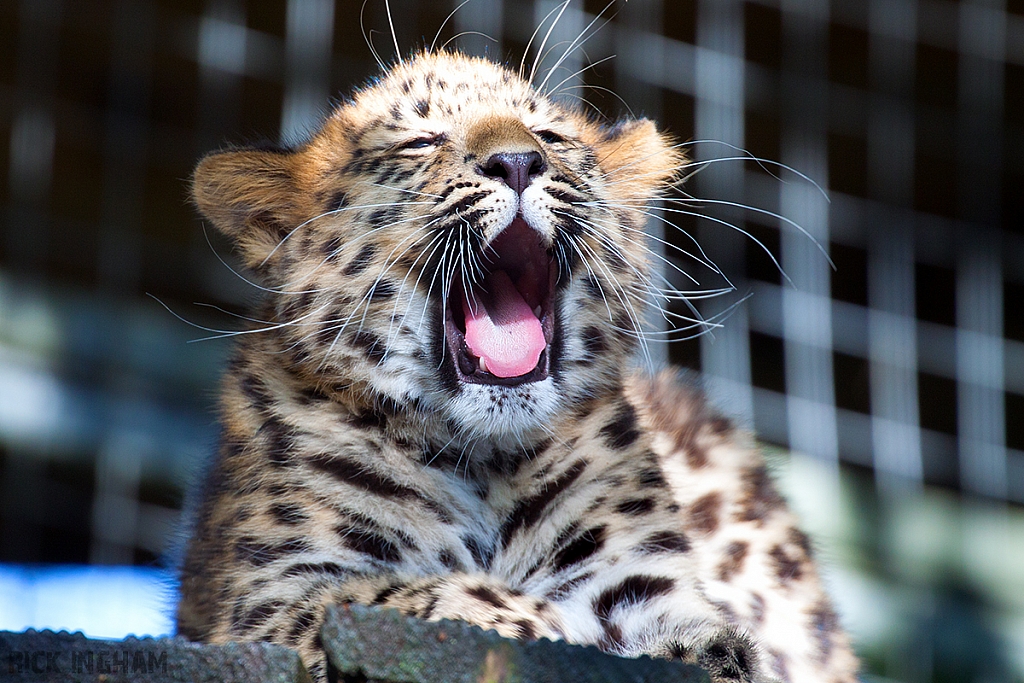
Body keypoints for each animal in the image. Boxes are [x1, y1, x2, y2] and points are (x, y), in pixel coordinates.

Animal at [176, 44, 856, 683]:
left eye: (549, 138)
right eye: (421, 142)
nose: (518, 162)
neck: (482, 461)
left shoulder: (650, 583)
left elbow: (710, 643)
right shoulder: (272, 600)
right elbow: (419, 594)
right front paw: (548, 622)